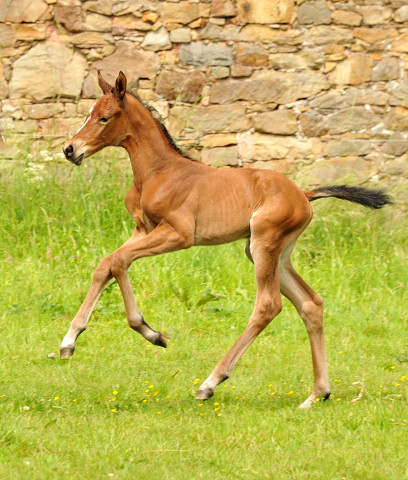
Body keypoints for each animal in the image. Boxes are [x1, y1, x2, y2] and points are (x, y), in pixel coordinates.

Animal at [61, 72, 392, 408]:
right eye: (88, 113)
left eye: (104, 117)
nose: (70, 149)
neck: (159, 172)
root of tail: (304, 193)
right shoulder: (142, 230)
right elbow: (107, 264)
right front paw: (69, 341)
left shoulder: (178, 234)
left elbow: (118, 261)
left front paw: (151, 333)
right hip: (274, 252)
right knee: (310, 303)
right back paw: (317, 395)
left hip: (264, 243)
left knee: (268, 305)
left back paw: (210, 383)